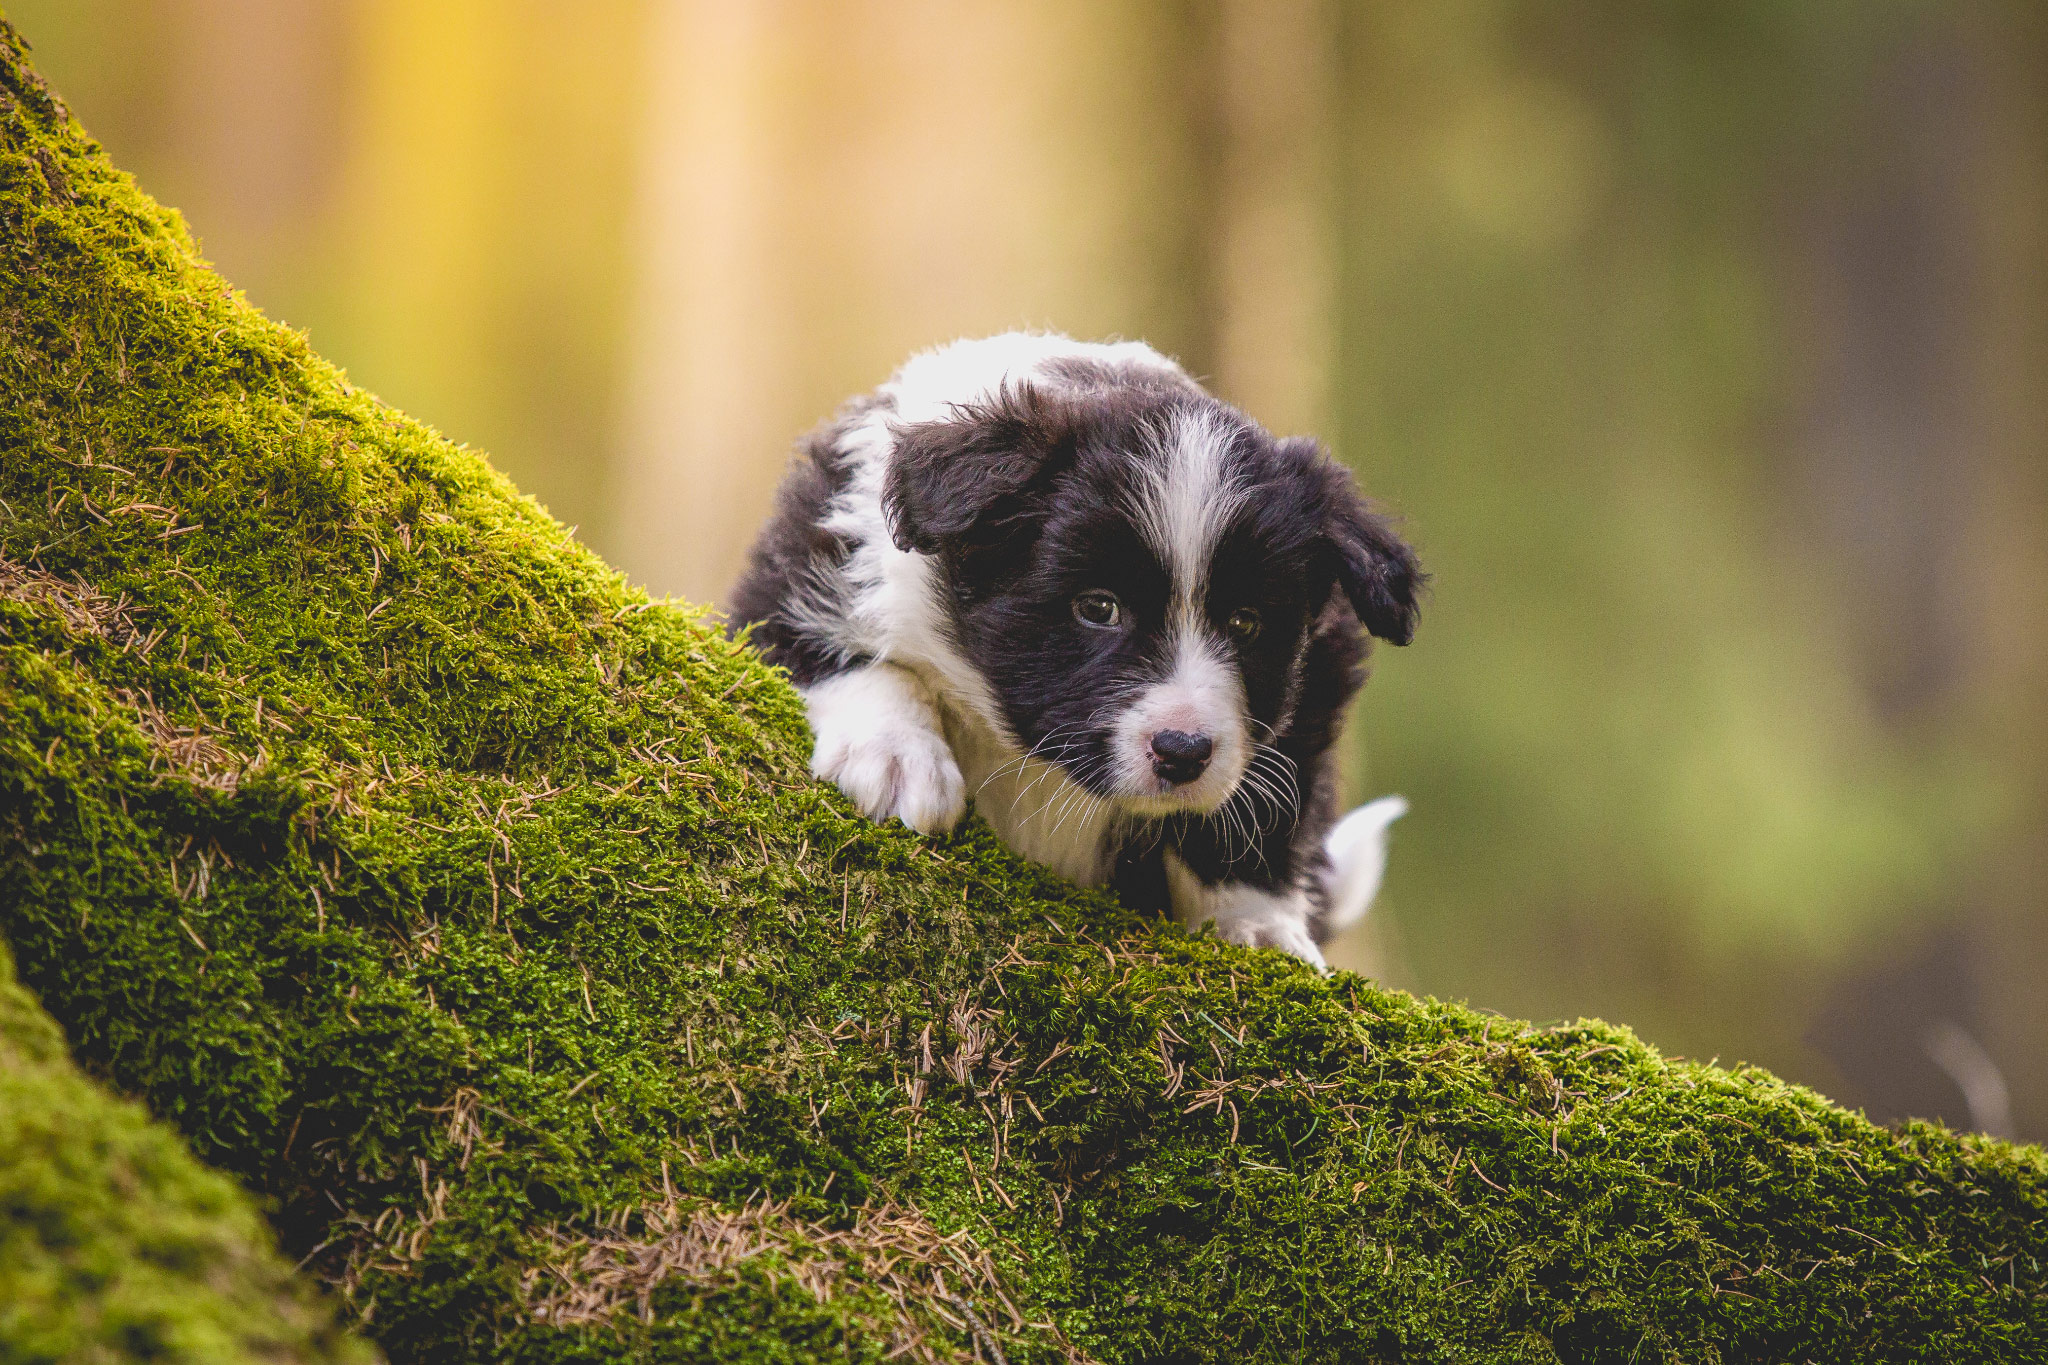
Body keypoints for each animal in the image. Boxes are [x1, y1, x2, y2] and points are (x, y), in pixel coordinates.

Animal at [737, 335, 1425, 965]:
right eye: (1098, 607)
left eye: (1245, 622)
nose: (1182, 753)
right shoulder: (801, 571)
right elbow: (846, 656)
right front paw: (896, 757)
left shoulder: (1315, 686)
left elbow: (1259, 815)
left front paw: (1257, 927)